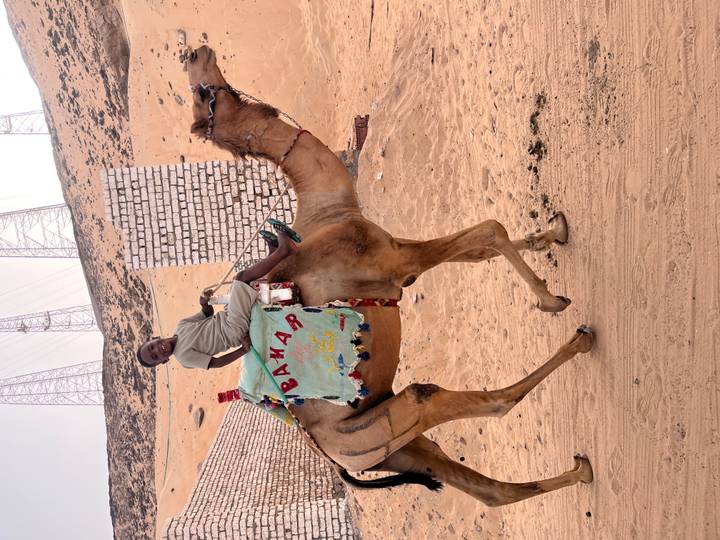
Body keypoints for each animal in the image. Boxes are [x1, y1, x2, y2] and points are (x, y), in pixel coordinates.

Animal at [182, 45, 594, 507]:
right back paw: (580, 343)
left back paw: (580, 470)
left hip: (390, 448)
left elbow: (480, 251)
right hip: (386, 427)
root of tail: (332, 458)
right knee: (466, 402)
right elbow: (489, 231)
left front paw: (555, 231)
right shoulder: (397, 265)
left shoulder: (396, 249)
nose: (193, 52)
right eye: (202, 93)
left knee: (485, 490)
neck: (328, 211)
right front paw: (551, 300)